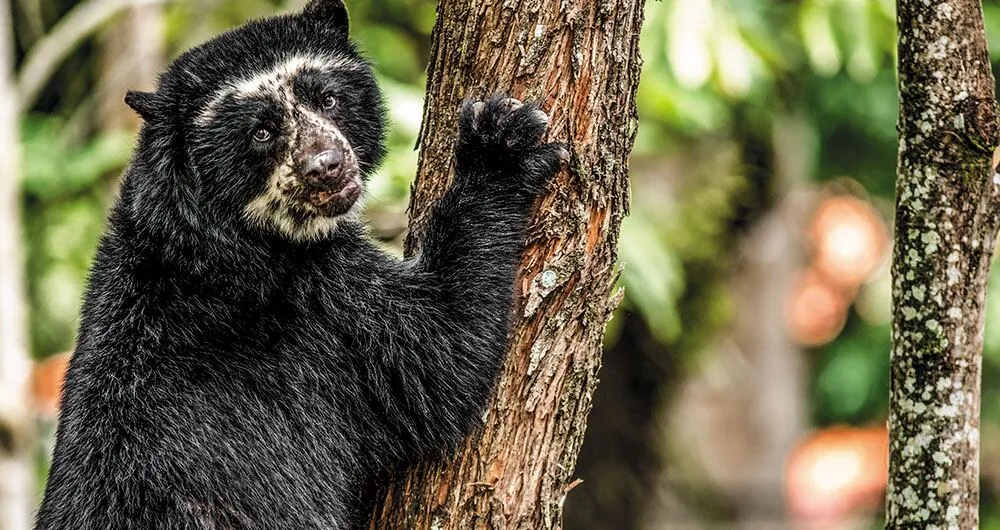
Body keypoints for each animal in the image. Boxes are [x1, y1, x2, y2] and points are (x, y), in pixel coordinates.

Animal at [33, 1, 564, 528]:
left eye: (327, 99)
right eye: (261, 132)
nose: (326, 166)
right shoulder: (320, 301)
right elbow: (440, 358)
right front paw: (501, 145)